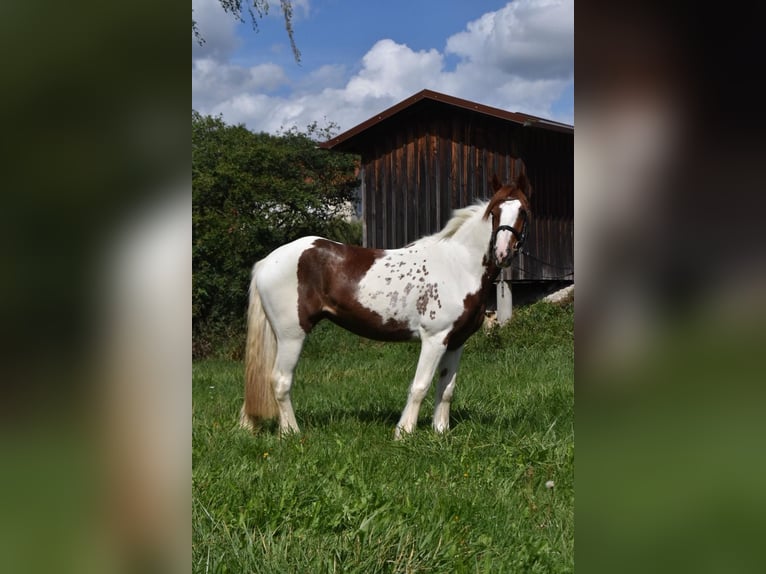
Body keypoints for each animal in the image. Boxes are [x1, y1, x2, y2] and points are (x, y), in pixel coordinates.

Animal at [240, 172, 532, 438]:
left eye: (523, 211)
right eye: (494, 211)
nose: (503, 253)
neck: (458, 265)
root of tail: (266, 262)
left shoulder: (456, 341)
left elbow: (446, 389)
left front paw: (440, 432)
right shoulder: (434, 338)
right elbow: (420, 386)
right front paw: (404, 433)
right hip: (292, 335)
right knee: (280, 381)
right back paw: (291, 433)